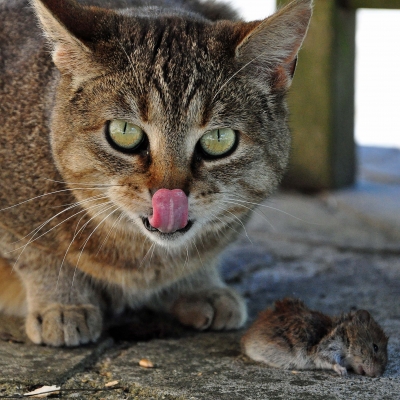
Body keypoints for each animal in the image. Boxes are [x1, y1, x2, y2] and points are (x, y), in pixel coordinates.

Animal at [0, 0, 312, 344]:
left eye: (219, 139)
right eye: (124, 132)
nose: (170, 194)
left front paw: (199, 285)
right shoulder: (15, 221)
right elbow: (35, 253)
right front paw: (63, 302)